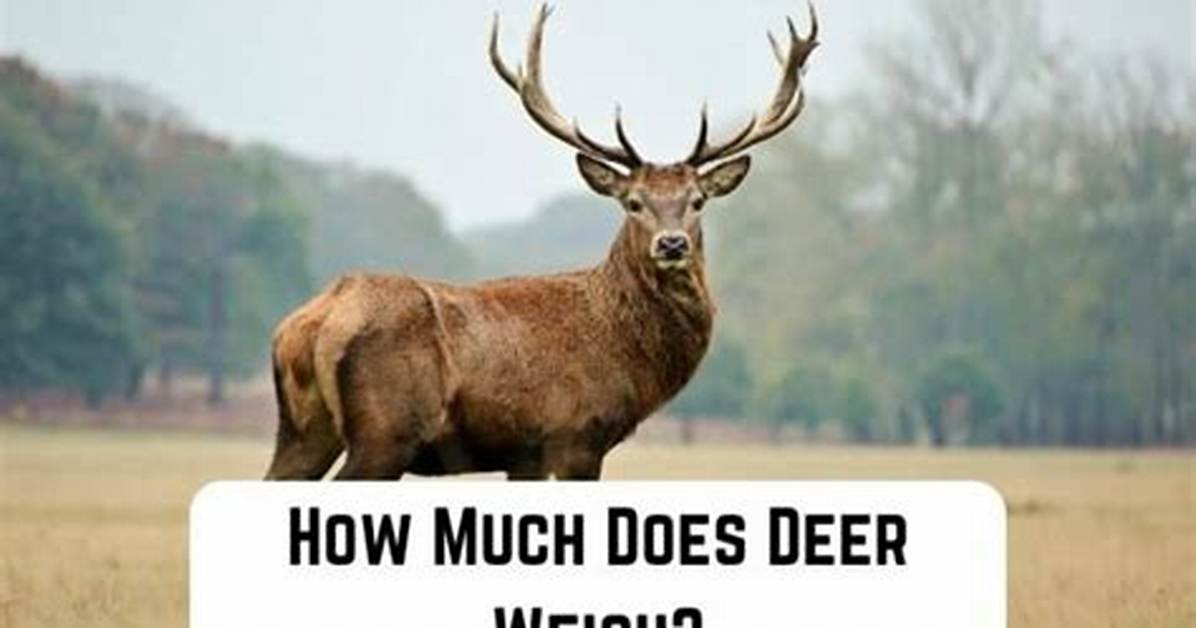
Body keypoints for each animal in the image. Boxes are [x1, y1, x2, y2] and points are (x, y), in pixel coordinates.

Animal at [264, 3, 819, 480]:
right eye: (633, 202)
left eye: (698, 200)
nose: (672, 244)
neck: (626, 353)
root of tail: (310, 322)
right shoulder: (575, 435)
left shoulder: (524, 454)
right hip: (385, 431)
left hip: (303, 430)